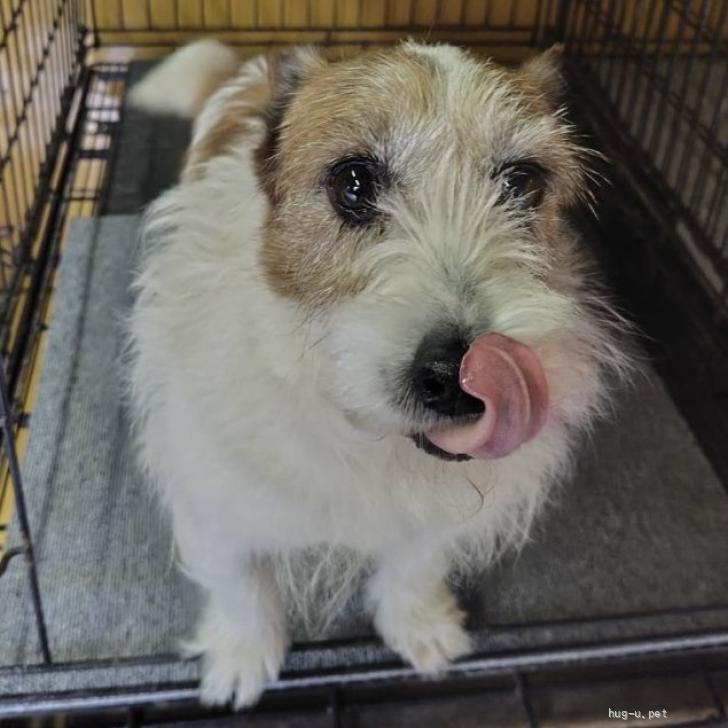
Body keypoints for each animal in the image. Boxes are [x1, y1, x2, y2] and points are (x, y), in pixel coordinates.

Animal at [128, 39, 629, 708]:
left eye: (523, 182)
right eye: (354, 182)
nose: (459, 378)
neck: (368, 438)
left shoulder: (437, 514)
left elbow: (416, 562)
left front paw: (418, 624)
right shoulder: (214, 500)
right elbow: (240, 582)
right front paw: (241, 653)